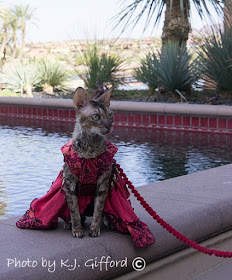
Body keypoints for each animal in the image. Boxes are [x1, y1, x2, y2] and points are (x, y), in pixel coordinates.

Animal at [62, 86, 114, 237]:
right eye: (96, 116)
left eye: (110, 115)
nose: (109, 126)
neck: (90, 151)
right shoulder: (69, 184)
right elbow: (74, 211)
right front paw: (77, 230)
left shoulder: (103, 184)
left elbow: (98, 210)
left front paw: (94, 230)